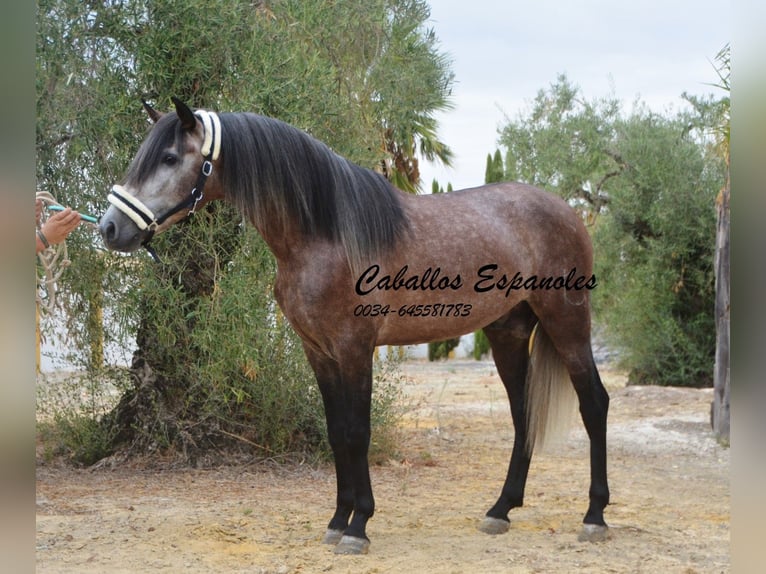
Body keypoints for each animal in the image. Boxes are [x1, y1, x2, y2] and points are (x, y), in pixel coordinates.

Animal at [100, 97, 612, 556]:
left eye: (169, 157)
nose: (109, 228)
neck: (324, 235)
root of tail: (568, 212)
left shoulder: (355, 348)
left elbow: (357, 432)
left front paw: (359, 525)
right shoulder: (319, 352)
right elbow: (336, 432)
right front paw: (336, 520)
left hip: (567, 322)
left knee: (594, 403)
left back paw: (594, 517)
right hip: (508, 332)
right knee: (523, 413)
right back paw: (501, 509)